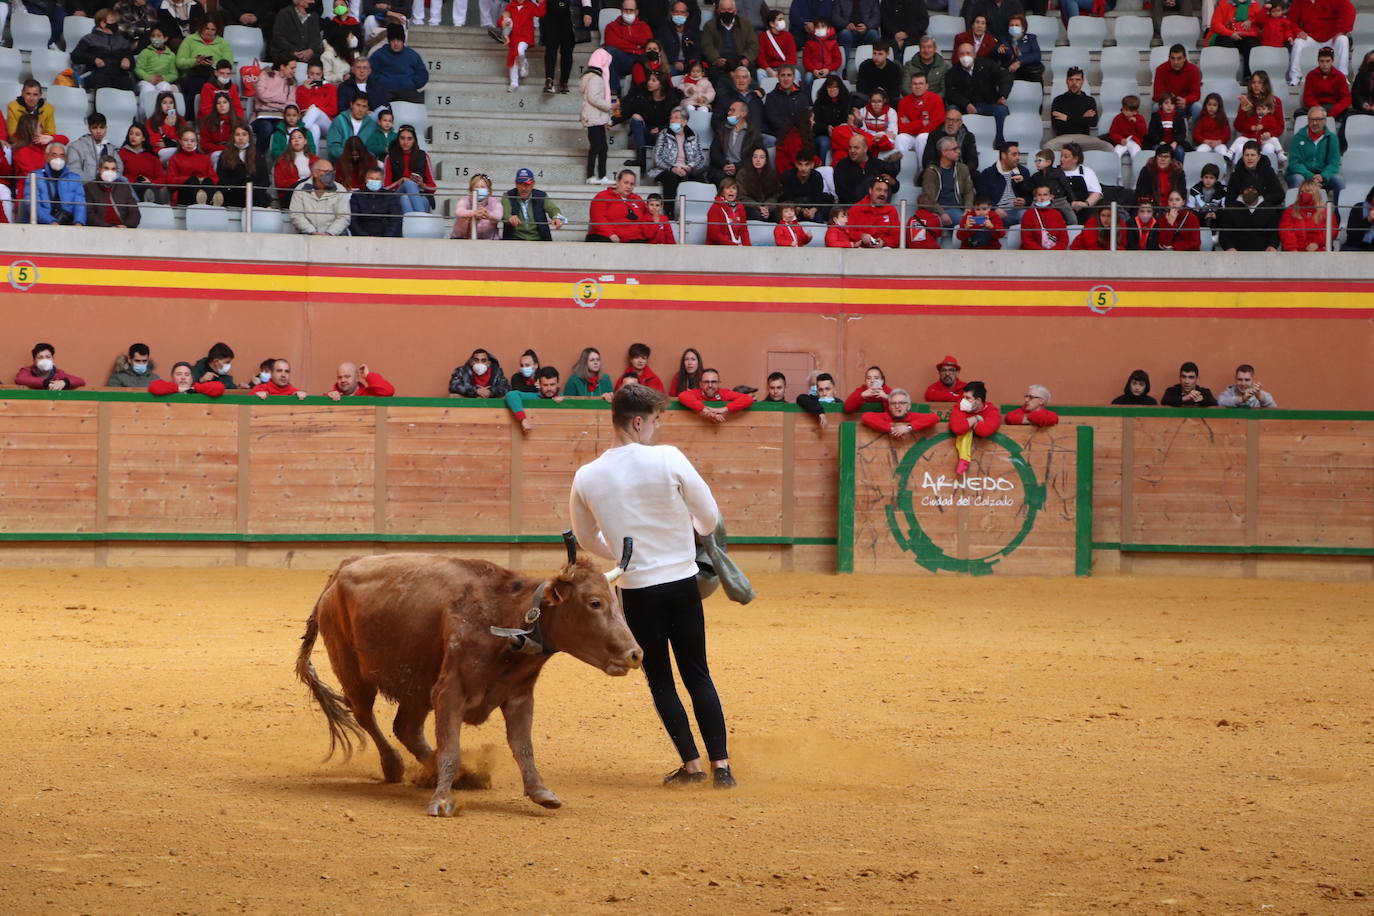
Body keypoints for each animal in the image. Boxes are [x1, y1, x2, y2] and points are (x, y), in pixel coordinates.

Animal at [295, 532, 637, 818]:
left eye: (616, 602)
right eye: (594, 602)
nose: (636, 654)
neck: (505, 614)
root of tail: (341, 570)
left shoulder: (518, 696)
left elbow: (523, 746)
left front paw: (541, 791)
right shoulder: (450, 691)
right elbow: (451, 747)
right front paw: (441, 800)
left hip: (417, 686)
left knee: (406, 728)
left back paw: (452, 774)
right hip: (353, 671)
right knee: (366, 716)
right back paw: (394, 766)